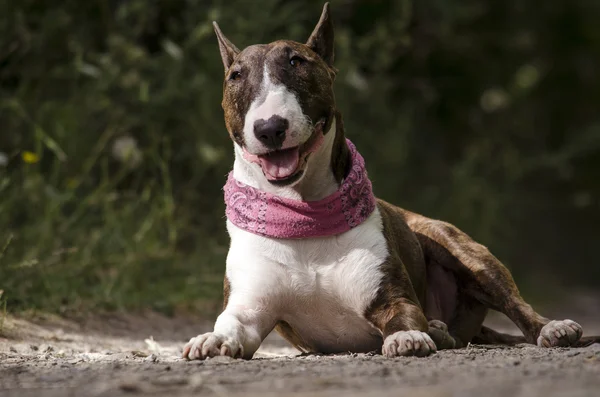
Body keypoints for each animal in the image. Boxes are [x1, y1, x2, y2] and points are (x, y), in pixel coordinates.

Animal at [183, 1, 596, 358]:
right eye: (235, 76)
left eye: (297, 61)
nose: (270, 128)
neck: (304, 216)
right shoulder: (250, 308)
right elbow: (231, 324)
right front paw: (210, 339)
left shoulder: (393, 297)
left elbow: (404, 317)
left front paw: (407, 337)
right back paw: (442, 331)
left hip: (461, 249)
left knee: (513, 301)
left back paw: (550, 328)